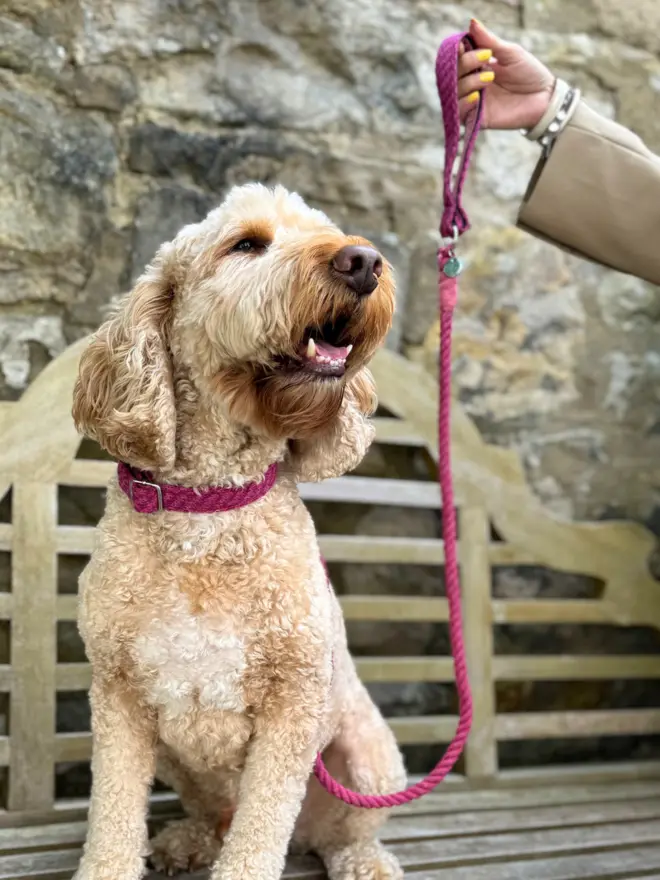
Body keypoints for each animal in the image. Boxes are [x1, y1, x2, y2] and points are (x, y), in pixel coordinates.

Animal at [69, 184, 404, 880]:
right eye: (246, 244)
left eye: (327, 231)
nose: (363, 261)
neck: (213, 506)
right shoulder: (118, 698)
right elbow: (112, 815)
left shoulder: (294, 705)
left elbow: (259, 829)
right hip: (175, 758)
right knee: (217, 816)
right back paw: (188, 841)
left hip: (370, 758)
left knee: (338, 831)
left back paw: (363, 859)